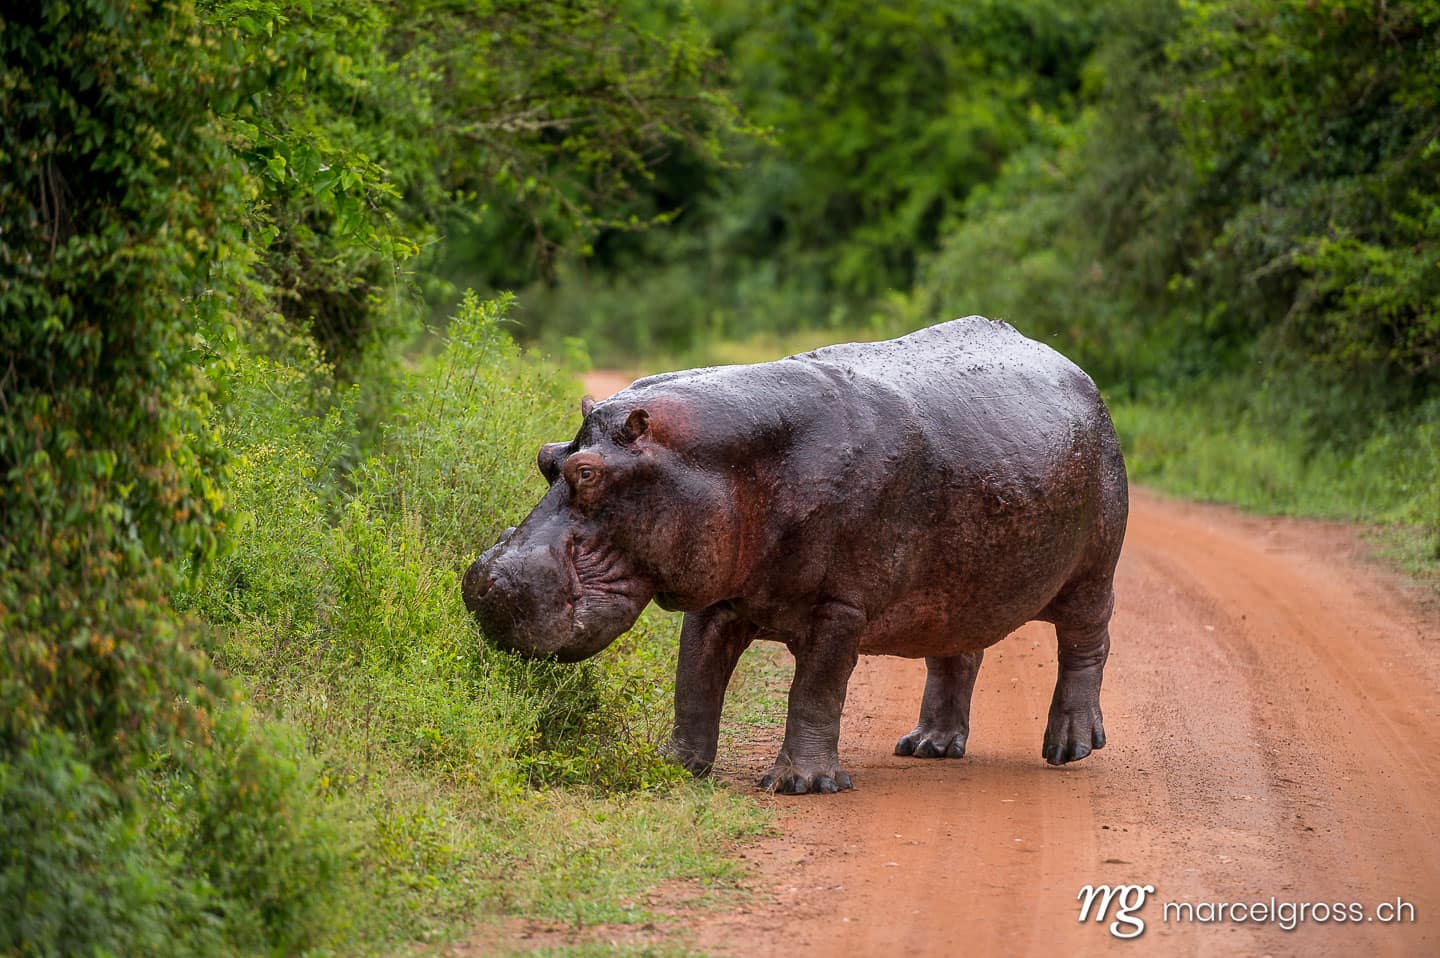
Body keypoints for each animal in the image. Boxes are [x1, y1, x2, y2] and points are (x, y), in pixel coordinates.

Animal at [463, 317, 1128, 794]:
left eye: (589, 473)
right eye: (547, 457)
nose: (482, 584)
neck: (734, 461)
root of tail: (1079, 374)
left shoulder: (841, 606)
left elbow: (815, 689)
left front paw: (801, 784)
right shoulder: (720, 596)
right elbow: (693, 681)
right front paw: (674, 765)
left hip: (1093, 571)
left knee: (1086, 645)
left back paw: (1069, 747)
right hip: (962, 587)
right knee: (957, 654)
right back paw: (928, 746)